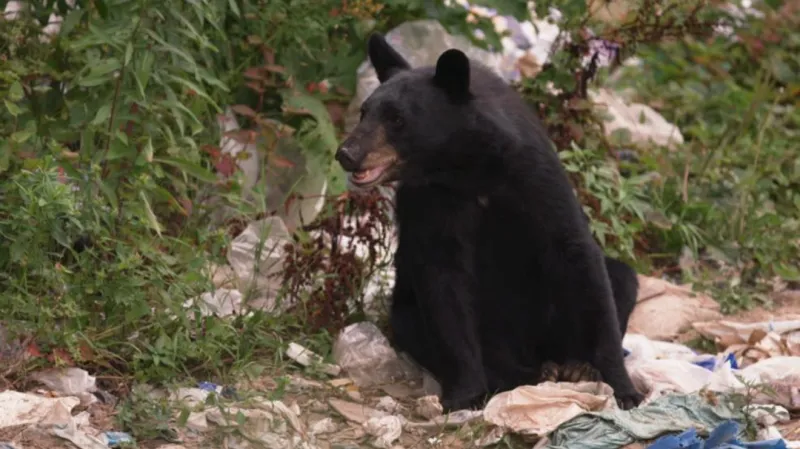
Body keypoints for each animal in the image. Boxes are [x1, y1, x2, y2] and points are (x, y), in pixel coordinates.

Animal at [334, 33, 643, 411]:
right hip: (413, 316)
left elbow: (576, 255)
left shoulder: (535, 177)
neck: (467, 168)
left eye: (397, 119)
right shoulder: (429, 201)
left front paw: (623, 388)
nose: (347, 154)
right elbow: (444, 284)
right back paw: (526, 375)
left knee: (621, 279)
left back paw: (574, 366)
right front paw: (466, 393)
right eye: (364, 112)